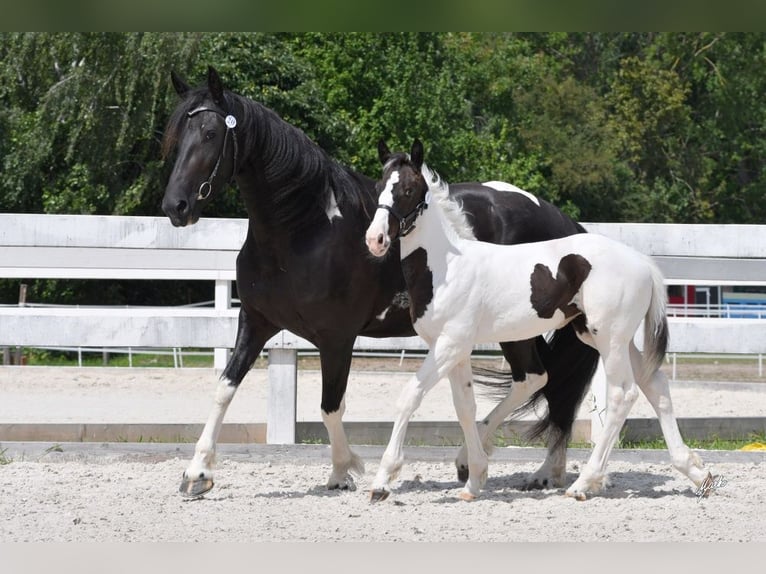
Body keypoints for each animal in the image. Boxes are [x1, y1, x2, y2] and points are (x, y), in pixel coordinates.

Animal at [159, 66, 596, 500]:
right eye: (177, 134)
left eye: (211, 134)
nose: (175, 206)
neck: (306, 230)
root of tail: (565, 222)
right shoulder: (255, 322)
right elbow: (224, 388)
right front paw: (197, 473)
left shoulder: (336, 337)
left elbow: (330, 406)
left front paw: (342, 470)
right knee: (540, 381)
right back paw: (526, 469)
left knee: (539, 380)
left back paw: (516, 468)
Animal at [366, 142, 712, 502]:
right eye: (378, 187)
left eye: (408, 189)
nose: (375, 239)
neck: (448, 266)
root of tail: (643, 263)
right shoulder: (454, 348)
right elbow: (465, 407)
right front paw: (473, 481)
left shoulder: (449, 344)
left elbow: (410, 396)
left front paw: (382, 480)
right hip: (603, 337)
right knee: (654, 385)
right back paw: (697, 473)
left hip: (610, 340)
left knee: (623, 395)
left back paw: (582, 483)